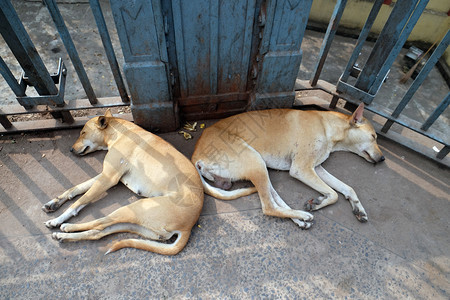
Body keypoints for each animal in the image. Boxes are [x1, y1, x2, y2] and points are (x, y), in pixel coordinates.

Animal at [42, 110, 204, 255]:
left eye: (83, 133)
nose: (71, 149)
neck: (120, 133)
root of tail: (187, 228)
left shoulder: (108, 178)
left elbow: (79, 201)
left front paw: (58, 219)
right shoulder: (105, 174)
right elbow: (76, 189)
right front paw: (53, 203)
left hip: (130, 209)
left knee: (98, 223)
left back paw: (65, 227)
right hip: (134, 223)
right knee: (98, 232)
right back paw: (63, 235)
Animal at [190, 102, 384, 229]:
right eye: (373, 137)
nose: (382, 159)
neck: (327, 127)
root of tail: (195, 156)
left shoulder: (316, 168)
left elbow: (346, 188)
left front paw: (359, 209)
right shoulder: (302, 169)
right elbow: (335, 194)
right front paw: (318, 203)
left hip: (261, 168)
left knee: (275, 201)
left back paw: (299, 219)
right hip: (255, 162)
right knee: (268, 207)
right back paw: (302, 215)